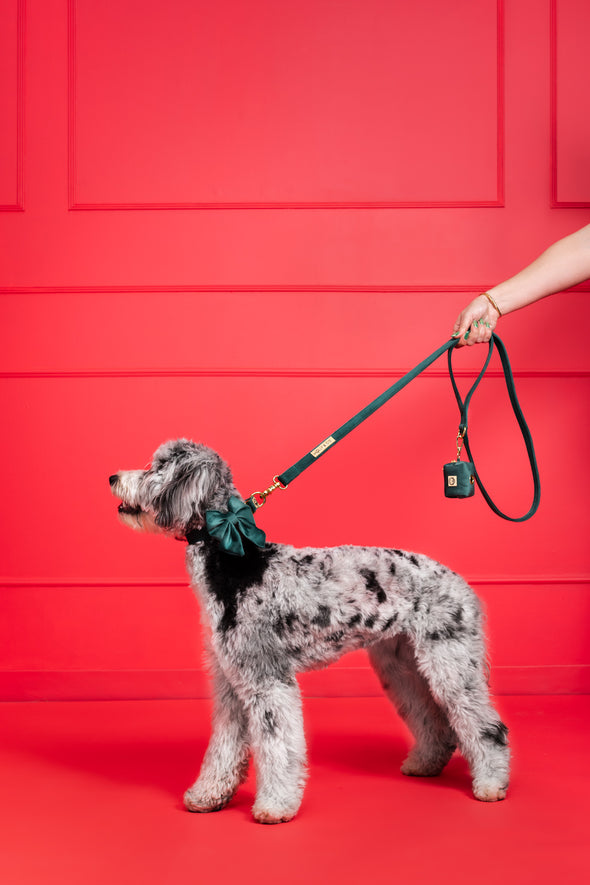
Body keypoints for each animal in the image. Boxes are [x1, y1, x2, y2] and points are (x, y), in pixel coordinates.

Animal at [110, 438, 508, 824]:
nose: (113, 477)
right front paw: (209, 795)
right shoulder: (229, 681)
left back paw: (490, 783)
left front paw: (275, 806)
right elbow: (224, 745)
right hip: (402, 666)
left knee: (486, 726)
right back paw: (424, 763)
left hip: (450, 663)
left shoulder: (266, 679)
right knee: (433, 719)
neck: (237, 561)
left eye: (158, 466)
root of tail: (463, 584)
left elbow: (278, 748)